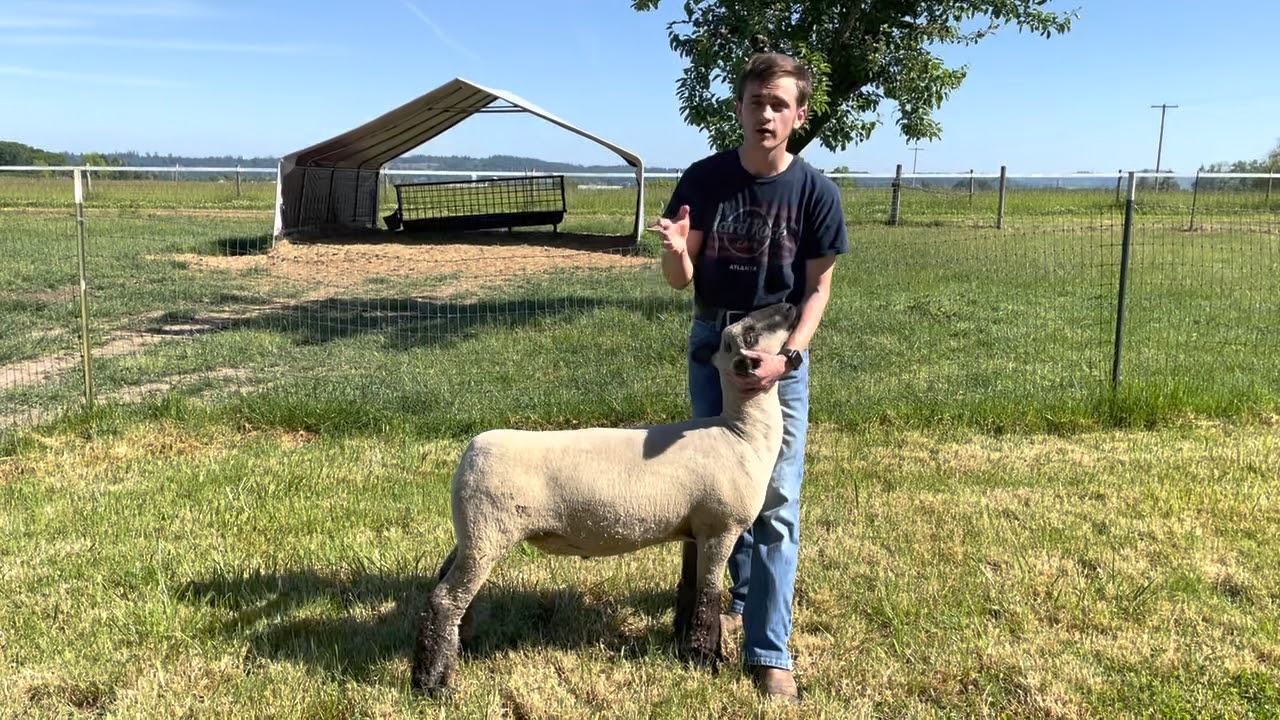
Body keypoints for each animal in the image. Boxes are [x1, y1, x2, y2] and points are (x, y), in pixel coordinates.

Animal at [410, 301, 799, 696]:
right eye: (749, 333)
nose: (788, 305)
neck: (740, 435)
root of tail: (471, 452)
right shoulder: (721, 528)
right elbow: (708, 596)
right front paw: (707, 660)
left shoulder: (695, 530)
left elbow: (690, 590)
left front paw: (684, 646)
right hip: (489, 533)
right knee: (445, 600)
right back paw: (432, 683)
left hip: (472, 531)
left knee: (445, 581)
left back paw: (460, 645)